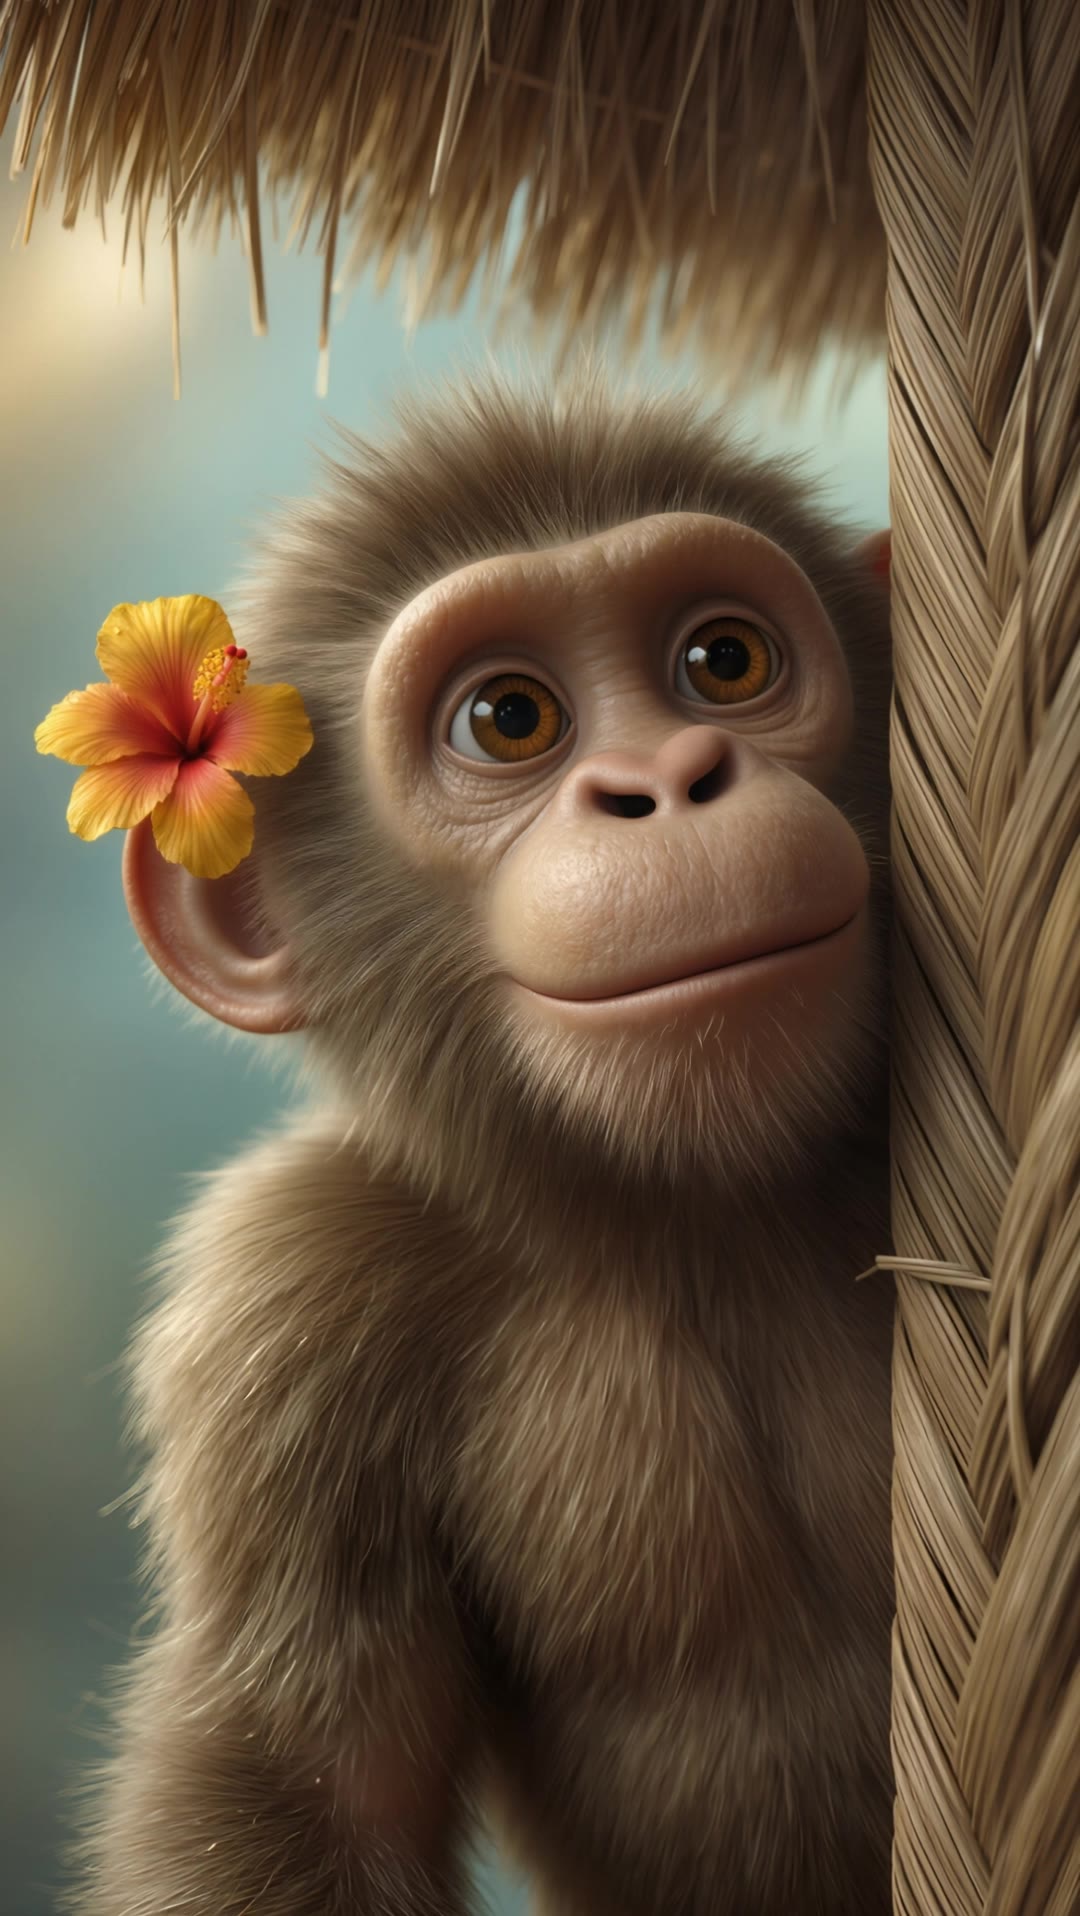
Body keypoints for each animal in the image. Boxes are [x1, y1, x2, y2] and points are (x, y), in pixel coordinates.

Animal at [71, 370, 897, 1916]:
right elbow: (300, 1794)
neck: (695, 1213)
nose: (667, 780)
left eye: (726, 660)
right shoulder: (291, 1293)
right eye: (510, 719)